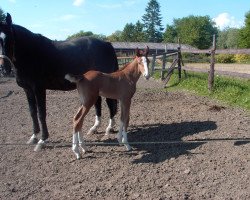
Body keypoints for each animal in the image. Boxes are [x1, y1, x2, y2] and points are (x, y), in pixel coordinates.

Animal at [0, 13, 118, 151]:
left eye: (10, 39)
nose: (3, 68)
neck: (31, 54)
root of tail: (106, 44)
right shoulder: (27, 90)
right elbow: (33, 113)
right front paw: (34, 137)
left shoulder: (39, 89)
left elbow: (41, 113)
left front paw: (42, 140)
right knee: (98, 103)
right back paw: (94, 128)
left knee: (110, 103)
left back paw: (109, 128)